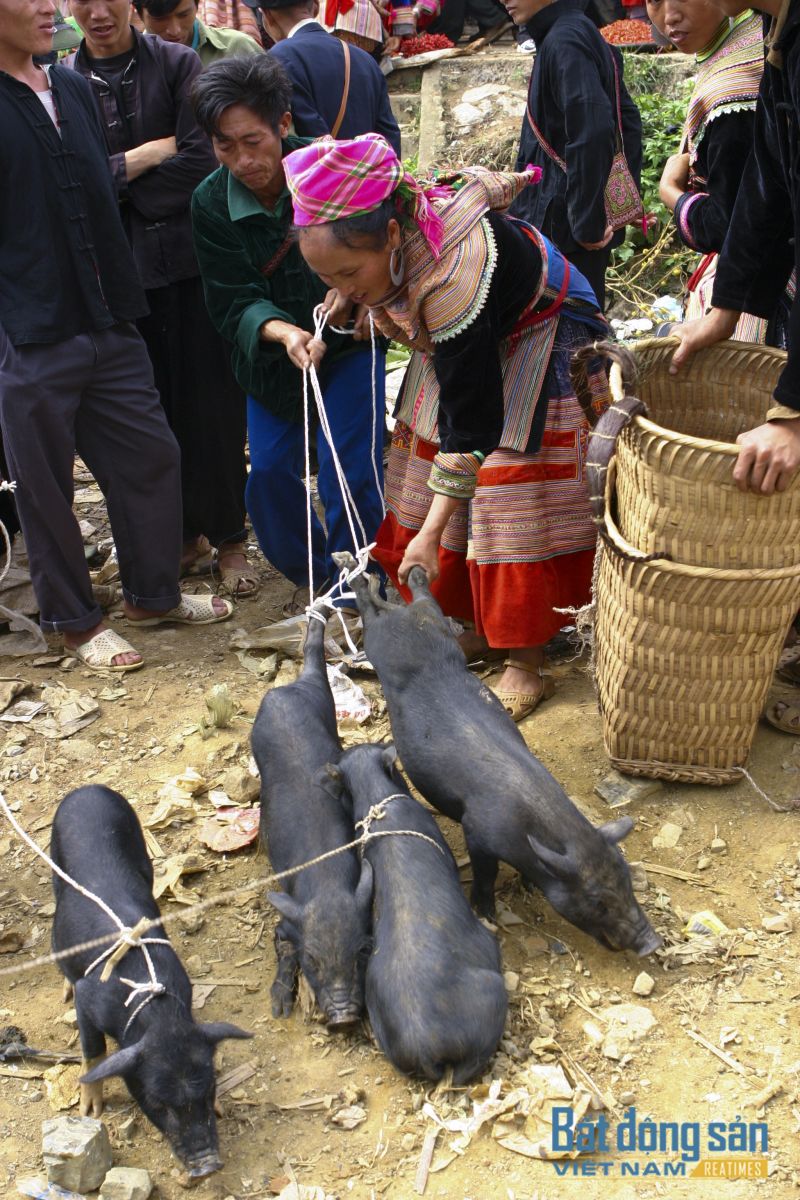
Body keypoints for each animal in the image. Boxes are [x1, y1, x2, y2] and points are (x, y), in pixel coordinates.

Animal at [51, 782, 250, 1185]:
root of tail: (88, 788)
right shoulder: (89, 997)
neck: (156, 1012)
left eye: (208, 1090)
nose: (208, 1166)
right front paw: (90, 1111)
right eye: (159, 1103)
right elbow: (93, 1050)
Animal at [251, 614, 374, 1027]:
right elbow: (283, 947)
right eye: (313, 961)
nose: (343, 1017)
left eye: (363, 952)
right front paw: (280, 1008)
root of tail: (292, 687)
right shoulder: (288, 919)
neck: (326, 885)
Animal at [331, 549, 662, 955]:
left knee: (419, 592)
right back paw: (350, 566)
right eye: (597, 900)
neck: (530, 828)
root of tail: (402, 614)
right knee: (368, 605)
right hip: (380, 639)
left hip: (434, 621)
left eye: (627, 880)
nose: (652, 942)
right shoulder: (477, 830)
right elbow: (485, 875)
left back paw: (414, 571)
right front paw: (488, 916)